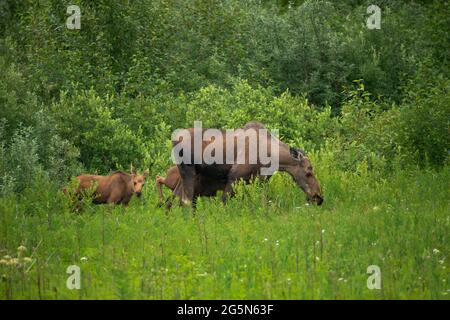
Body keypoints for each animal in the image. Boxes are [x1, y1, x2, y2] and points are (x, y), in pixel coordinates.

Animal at [172, 121, 324, 206]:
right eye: (308, 172)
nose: (318, 197)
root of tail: (173, 138)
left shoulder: (259, 180)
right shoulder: (234, 178)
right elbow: (224, 202)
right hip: (188, 171)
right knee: (186, 201)